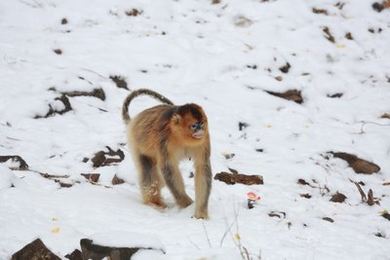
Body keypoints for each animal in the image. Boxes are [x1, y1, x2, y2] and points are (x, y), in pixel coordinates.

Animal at [123, 88, 212, 218]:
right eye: (194, 126)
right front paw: (186, 203)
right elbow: (168, 167)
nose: (200, 130)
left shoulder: (204, 140)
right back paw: (154, 202)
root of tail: (134, 120)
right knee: (148, 169)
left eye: (202, 124)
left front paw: (201, 213)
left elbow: (202, 167)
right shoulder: (164, 139)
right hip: (136, 142)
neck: (181, 137)